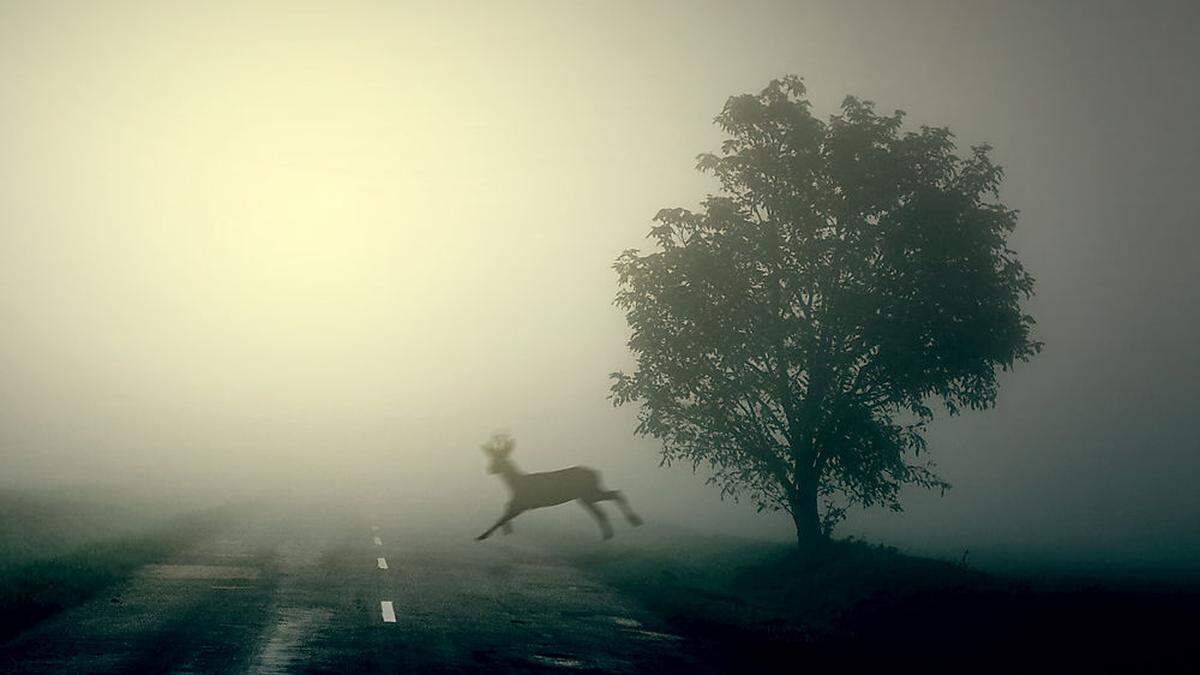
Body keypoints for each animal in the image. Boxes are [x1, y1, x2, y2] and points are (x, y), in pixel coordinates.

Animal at [477, 432, 648, 538]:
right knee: (607, 503)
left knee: (613, 496)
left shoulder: (524, 502)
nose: (490, 469)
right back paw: (613, 532)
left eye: (500, 459)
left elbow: (503, 514)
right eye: (492, 458)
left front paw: (482, 536)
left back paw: (632, 522)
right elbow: (505, 507)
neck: (516, 482)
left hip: (588, 493)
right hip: (586, 495)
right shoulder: (520, 502)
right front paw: (506, 531)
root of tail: (597, 472)